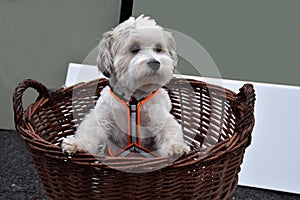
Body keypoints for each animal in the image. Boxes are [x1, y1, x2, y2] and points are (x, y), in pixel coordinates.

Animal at [61, 14, 190, 157]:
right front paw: (77, 144)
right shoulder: (103, 116)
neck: (134, 98)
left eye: (158, 49)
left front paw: (176, 148)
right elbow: (90, 130)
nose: (155, 63)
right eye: (134, 49)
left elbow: (170, 129)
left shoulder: (158, 116)